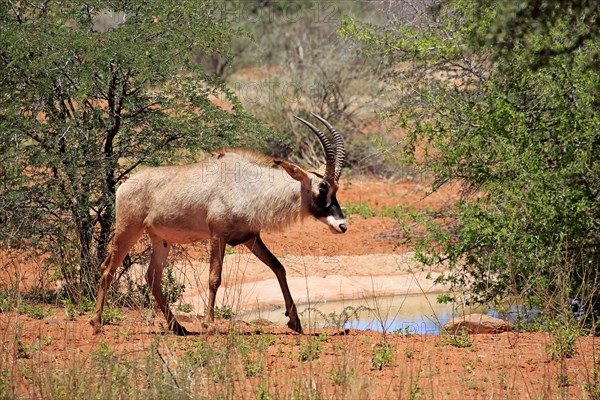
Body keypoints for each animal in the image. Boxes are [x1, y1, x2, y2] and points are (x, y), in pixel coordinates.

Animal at [91, 114, 350, 336]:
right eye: (322, 189)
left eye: (335, 189)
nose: (342, 226)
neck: (246, 185)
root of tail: (125, 185)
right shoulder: (218, 235)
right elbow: (214, 277)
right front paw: (210, 324)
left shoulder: (250, 237)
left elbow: (278, 267)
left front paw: (295, 321)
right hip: (128, 231)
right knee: (107, 269)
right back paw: (97, 324)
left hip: (160, 240)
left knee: (152, 277)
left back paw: (178, 328)